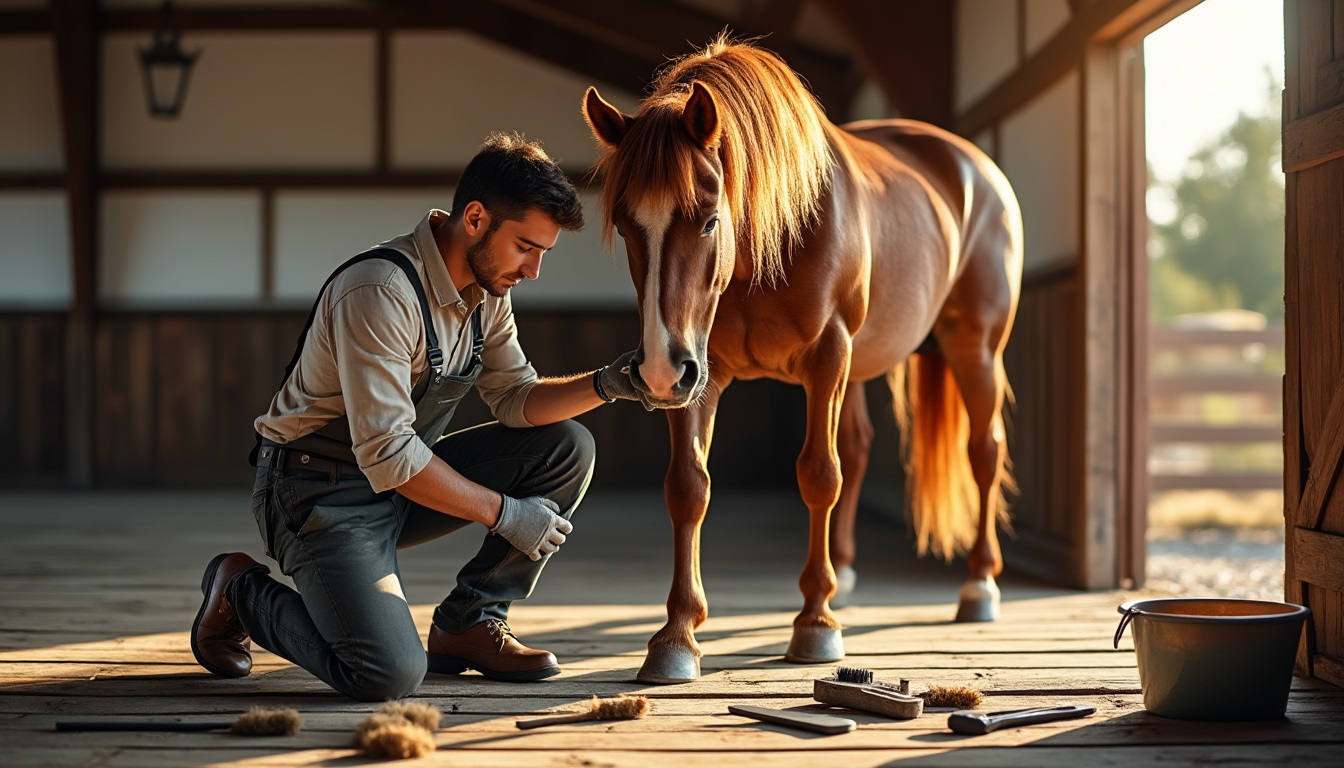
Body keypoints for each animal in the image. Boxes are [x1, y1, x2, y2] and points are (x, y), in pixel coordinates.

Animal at [583, 38, 1022, 684]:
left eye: (709, 219)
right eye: (623, 223)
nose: (657, 371)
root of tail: (976, 168)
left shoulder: (825, 355)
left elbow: (819, 474)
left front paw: (815, 622)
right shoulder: (700, 371)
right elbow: (688, 487)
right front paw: (676, 636)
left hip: (974, 349)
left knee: (983, 451)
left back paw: (980, 586)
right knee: (860, 448)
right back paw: (847, 571)